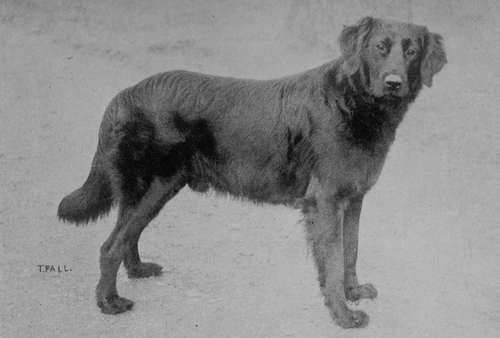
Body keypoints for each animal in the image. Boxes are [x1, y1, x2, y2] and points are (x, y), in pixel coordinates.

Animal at [57, 17, 446, 328]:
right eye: (379, 48)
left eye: (411, 51)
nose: (394, 82)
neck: (352, 101)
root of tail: (124, 95)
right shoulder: (325, 201)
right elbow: (334, 261)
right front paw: (343, 315)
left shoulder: (352, 199)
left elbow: (350, 250)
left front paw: (353, 293)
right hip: (153, 184)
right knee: (111, 245)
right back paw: (109, 302)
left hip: (153, 188)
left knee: (127, 233)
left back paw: (138, 271)